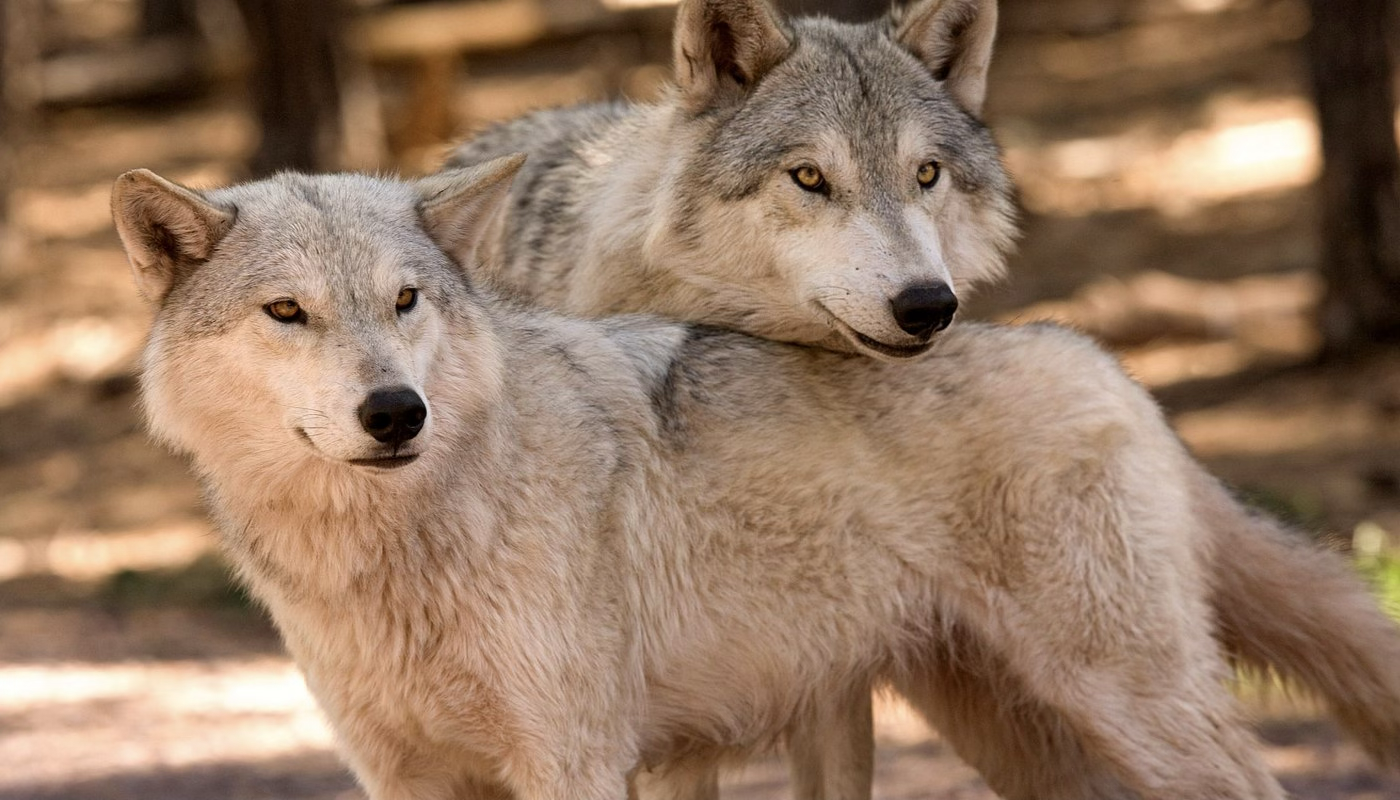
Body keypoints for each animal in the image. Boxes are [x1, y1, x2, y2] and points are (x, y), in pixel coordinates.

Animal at [113, 159, 1400, 800]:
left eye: (405, 300)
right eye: (288, 312)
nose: (395, 412)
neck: (393, 548)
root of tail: (1103, 364)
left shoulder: (572, 761)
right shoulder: (407, 778)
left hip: (1133, 705)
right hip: (1023, 737)